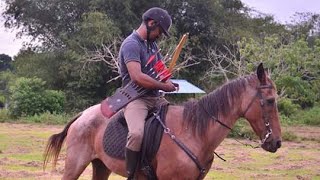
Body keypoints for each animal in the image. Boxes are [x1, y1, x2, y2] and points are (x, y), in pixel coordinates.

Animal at [43, 63, 282, 179]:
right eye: (270, 100)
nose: (277, 142)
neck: (194, 133)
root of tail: (82, 116)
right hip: (75, 165)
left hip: (101, 166)